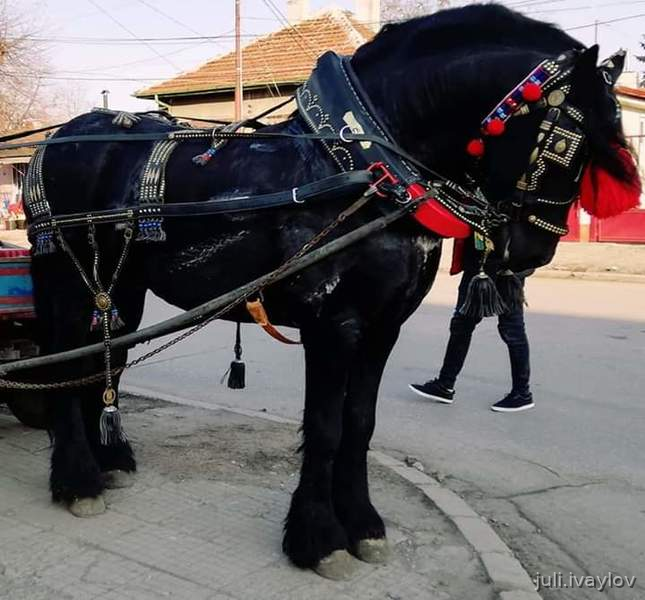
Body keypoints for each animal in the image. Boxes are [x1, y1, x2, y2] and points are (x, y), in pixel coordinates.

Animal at [25, 4, 636, 579]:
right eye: (564, 142)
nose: (532, 252)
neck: (367, 170)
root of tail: (58, 138)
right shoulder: (333, 325)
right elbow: (324, 427)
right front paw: (318, 537)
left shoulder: (385, 326)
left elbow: (360, 424)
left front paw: (362, 523)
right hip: (67, 279)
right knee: (63, 358)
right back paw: (77, 480)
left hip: (121, 288)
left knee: (105, 359)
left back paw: (110, 458)